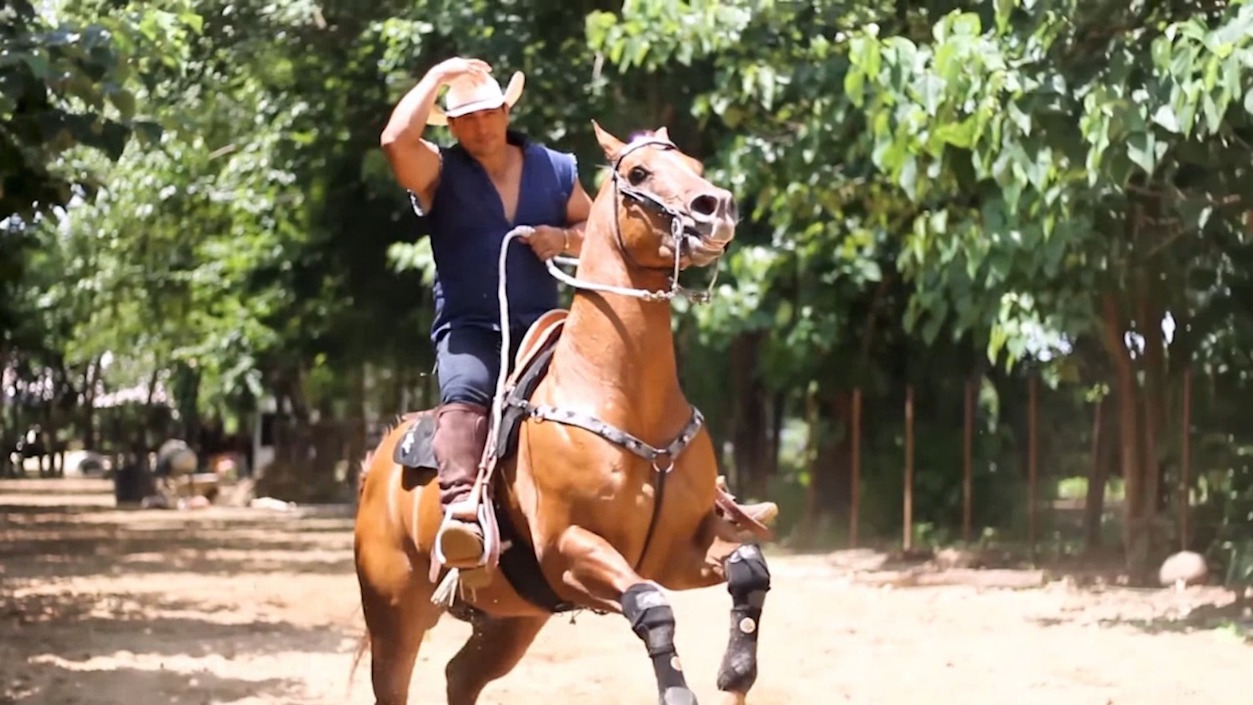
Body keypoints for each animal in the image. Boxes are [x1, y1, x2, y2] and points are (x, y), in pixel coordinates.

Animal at [353, 122, 776, 705]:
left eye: (694, 164)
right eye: (639, 172)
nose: (717, 207)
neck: (623, 401)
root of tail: (377, 464)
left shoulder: (678, 553)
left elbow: (748, 566)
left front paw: (736, 672)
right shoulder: (570, 550)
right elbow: (650, 604)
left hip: (513, 620)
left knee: (461, 676)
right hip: (394, 614)